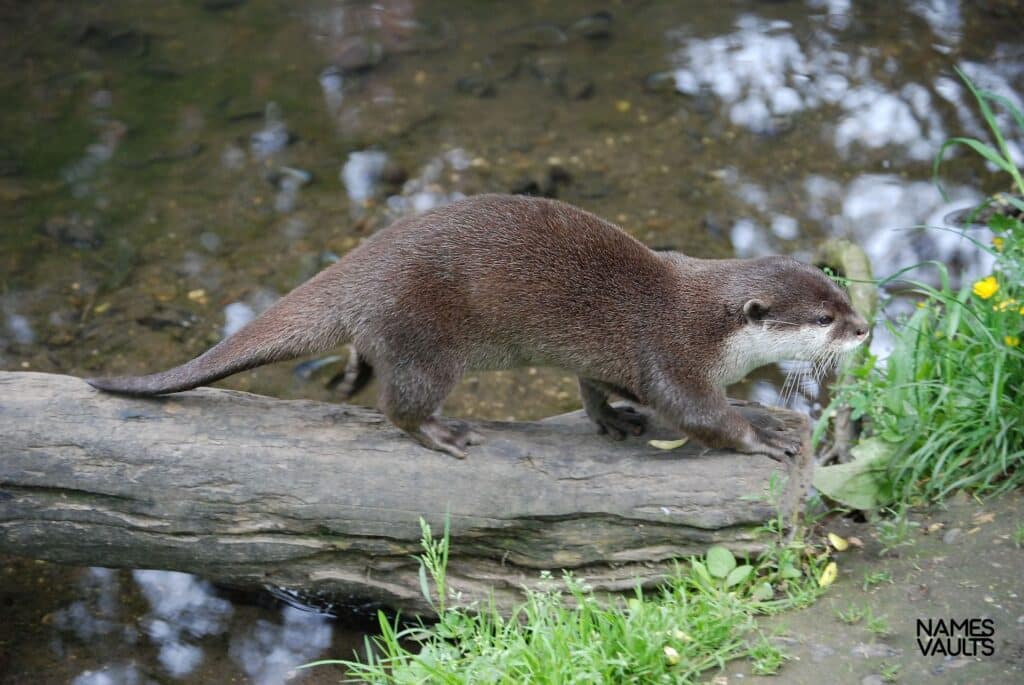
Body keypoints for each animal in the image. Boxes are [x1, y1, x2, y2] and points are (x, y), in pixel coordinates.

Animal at [88, 192, 868, 458]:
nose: (865, 329)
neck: (707, 322)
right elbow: (698, 413)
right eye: (824, 318)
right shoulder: (671, 353)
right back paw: (442, 433)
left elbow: (595, 384)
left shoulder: (611, 357)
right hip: (425, 340)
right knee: (399, 404)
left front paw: (610, 420)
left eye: (840, 294)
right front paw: (759, 429)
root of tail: (364, 266)